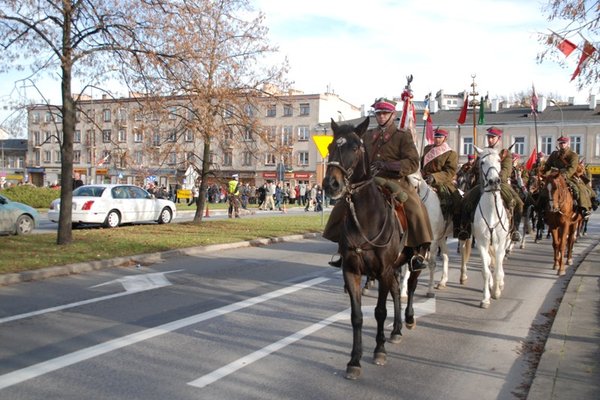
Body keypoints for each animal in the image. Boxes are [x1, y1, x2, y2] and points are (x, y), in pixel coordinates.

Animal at [322, 117, 420, 380]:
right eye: (330, 146)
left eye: (356, 147)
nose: (331, 184)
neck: (365, 217)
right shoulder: (351, 271)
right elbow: (356, 317)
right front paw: (354, 360)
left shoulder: (382, 271)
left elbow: (379, 311)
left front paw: (379, 350)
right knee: (397, 290)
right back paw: (396, 330)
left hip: (415, 260)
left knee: (410, 288)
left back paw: (407, 320)